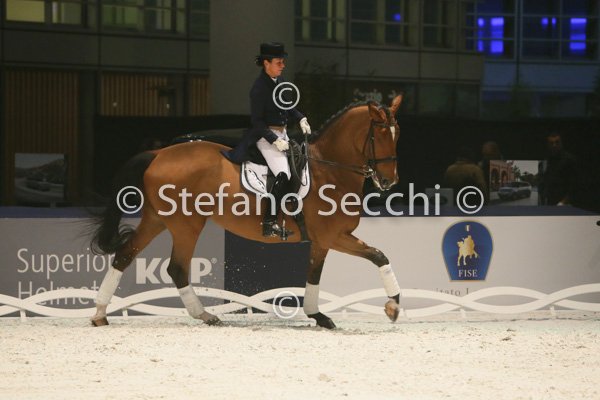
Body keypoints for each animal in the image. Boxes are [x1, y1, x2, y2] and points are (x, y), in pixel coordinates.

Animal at [90, 95, 403, 329]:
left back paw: (100, 314)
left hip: (157, 220)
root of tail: (159, 154)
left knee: (125, 255)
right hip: (186, 225)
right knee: (176, 267)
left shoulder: (323, 241)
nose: (389, 181)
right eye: (378, 135)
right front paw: (393, 306)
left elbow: (317, 274)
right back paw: (204, 315)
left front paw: (318, 315)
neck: (331, 168)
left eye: (396, 134)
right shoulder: (332, 237)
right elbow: (378, 256)